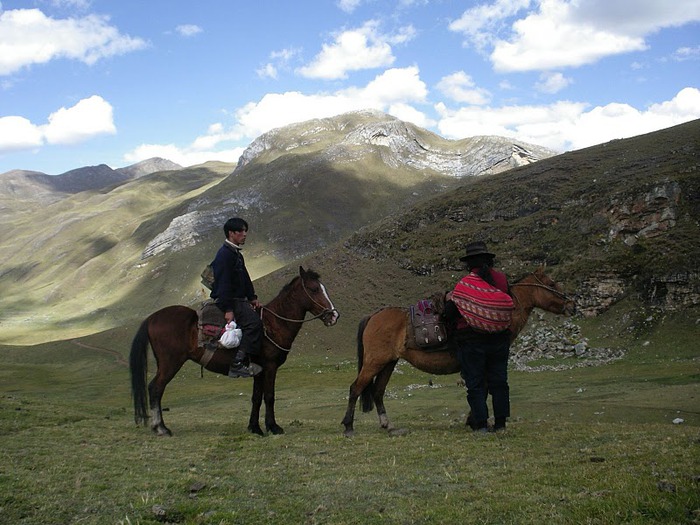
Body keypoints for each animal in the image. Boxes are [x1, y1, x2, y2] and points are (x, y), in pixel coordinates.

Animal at [133, 266, 340, 434]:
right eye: (314, 289)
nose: (334, 316)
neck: (274, 323)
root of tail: (151, 318)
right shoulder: (270, 366)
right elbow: (270, 396)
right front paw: (273, 427)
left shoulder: (258, 370)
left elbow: (256, 397)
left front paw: (255, 427)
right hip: (170, 363)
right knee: (156, 388)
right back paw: (161, 428)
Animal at [342, 268, 576, 436]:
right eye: (551, 284)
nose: (572, 305)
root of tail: (373, 315)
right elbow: (483, 388)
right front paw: (475, 421)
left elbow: (483, 388)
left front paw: (474, 420)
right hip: (374, 362)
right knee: (356, 388)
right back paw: (348, 426)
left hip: (388, 363)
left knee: (378, 391)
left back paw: (387, 425)